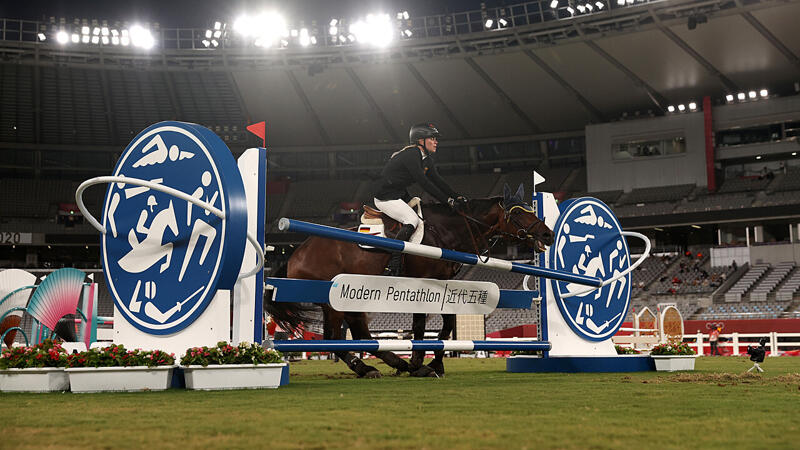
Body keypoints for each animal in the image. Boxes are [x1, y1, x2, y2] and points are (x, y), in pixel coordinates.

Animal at [266, 183, 552, 376]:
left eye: (530, 209)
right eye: (519, 214)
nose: (548, 235)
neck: (445, 231)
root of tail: (296, 253)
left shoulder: (444, 285)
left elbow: (446, 325)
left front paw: (432, 363)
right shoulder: (423, 283)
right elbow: (421, 325)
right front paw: (420, 362)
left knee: (361, 334)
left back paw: (392, 363)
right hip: (331, 301)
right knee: (334, 339)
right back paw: (368, 367)